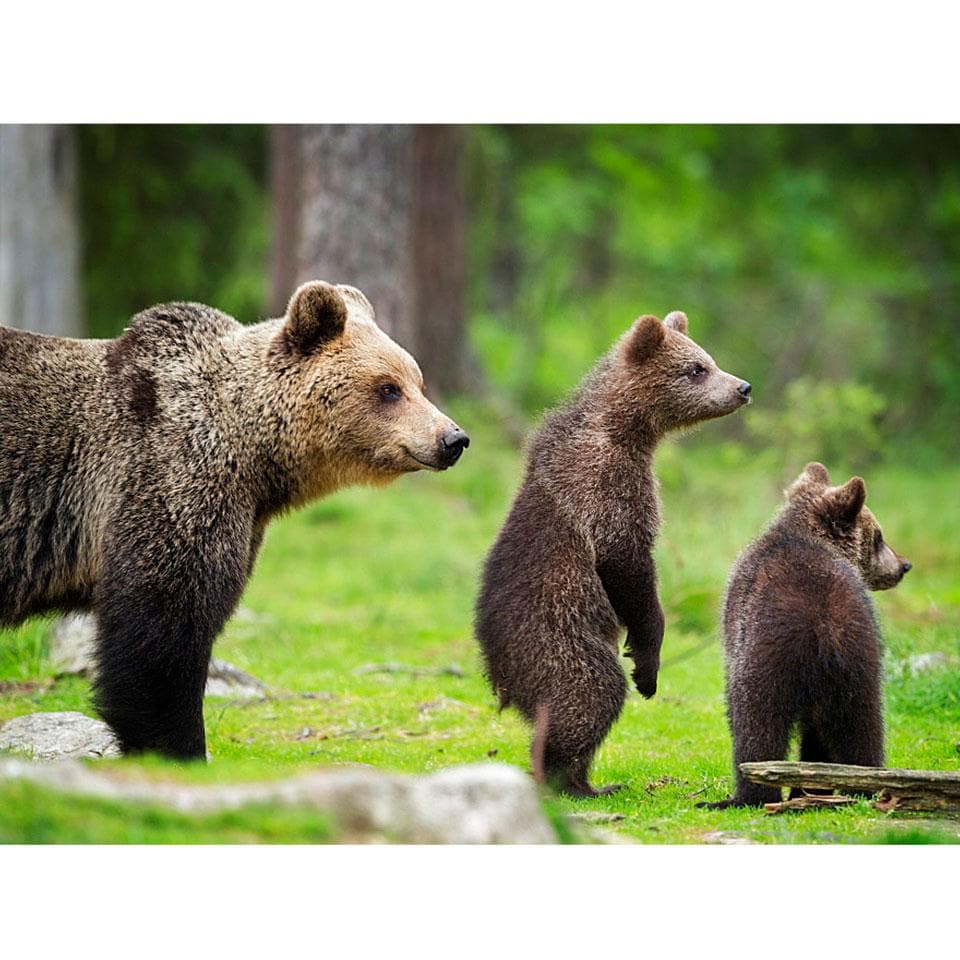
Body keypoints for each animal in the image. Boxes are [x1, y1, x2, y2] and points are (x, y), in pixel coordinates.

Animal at [0, 280, 469, 760]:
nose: (453, 438)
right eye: (388, 388)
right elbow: (163, 627)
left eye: (417, 382)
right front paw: (178, 746)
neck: (252, 457)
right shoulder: (166, 479)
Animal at [475, 310, 751, 797]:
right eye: (696, 368)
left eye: (709, 360)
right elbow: (628, 566)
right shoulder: (607, 486)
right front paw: (647, 662)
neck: (627, 431)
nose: (742, 387)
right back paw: (572, 778)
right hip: (557, 636)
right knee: (589, 693)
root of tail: (499, 674)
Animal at [699, 462, 911, 809]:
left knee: (756, 723)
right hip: (859, 659)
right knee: (863, 725)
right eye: (879, 536)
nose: (904, 565)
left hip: (766, 658)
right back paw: (863, 784)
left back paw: (746, 794)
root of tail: (822, 627)